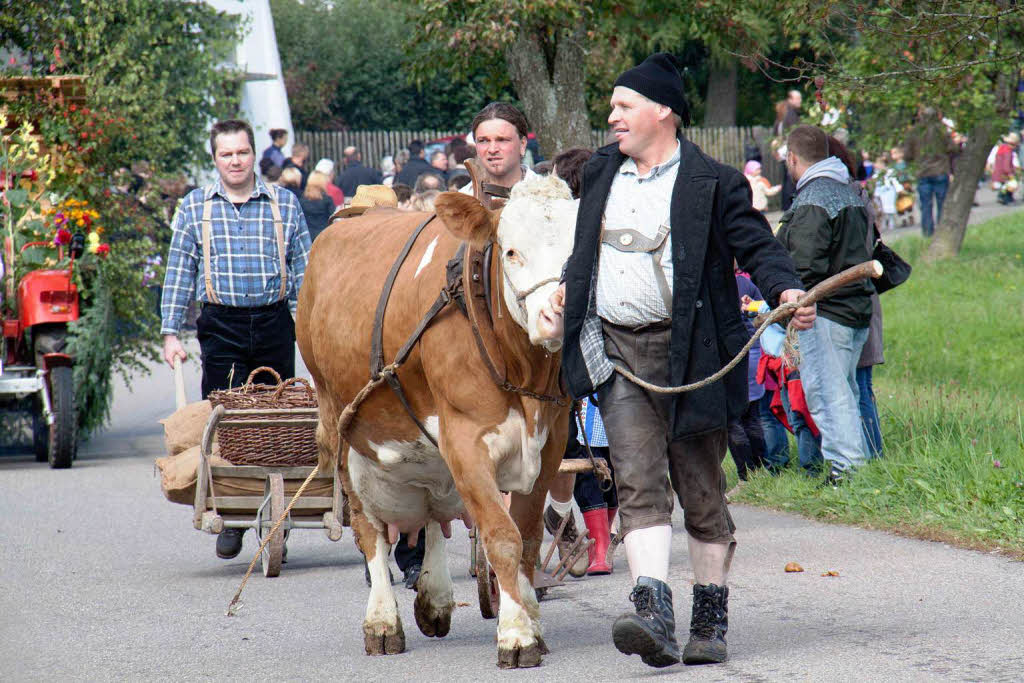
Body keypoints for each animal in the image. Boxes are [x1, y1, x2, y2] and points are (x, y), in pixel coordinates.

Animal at [296, 175, 581, 667]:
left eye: (577, 247)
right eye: (510, 251)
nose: (557, 315)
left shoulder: (552, 440)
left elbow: (526, 537)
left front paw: (531, 620)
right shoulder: (466, 439)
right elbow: (501, 537)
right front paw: (516, 635)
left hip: (426, 454)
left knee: (430, 511)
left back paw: (435, 598)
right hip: (341, 425)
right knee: (370, 531)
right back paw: (382, 622)